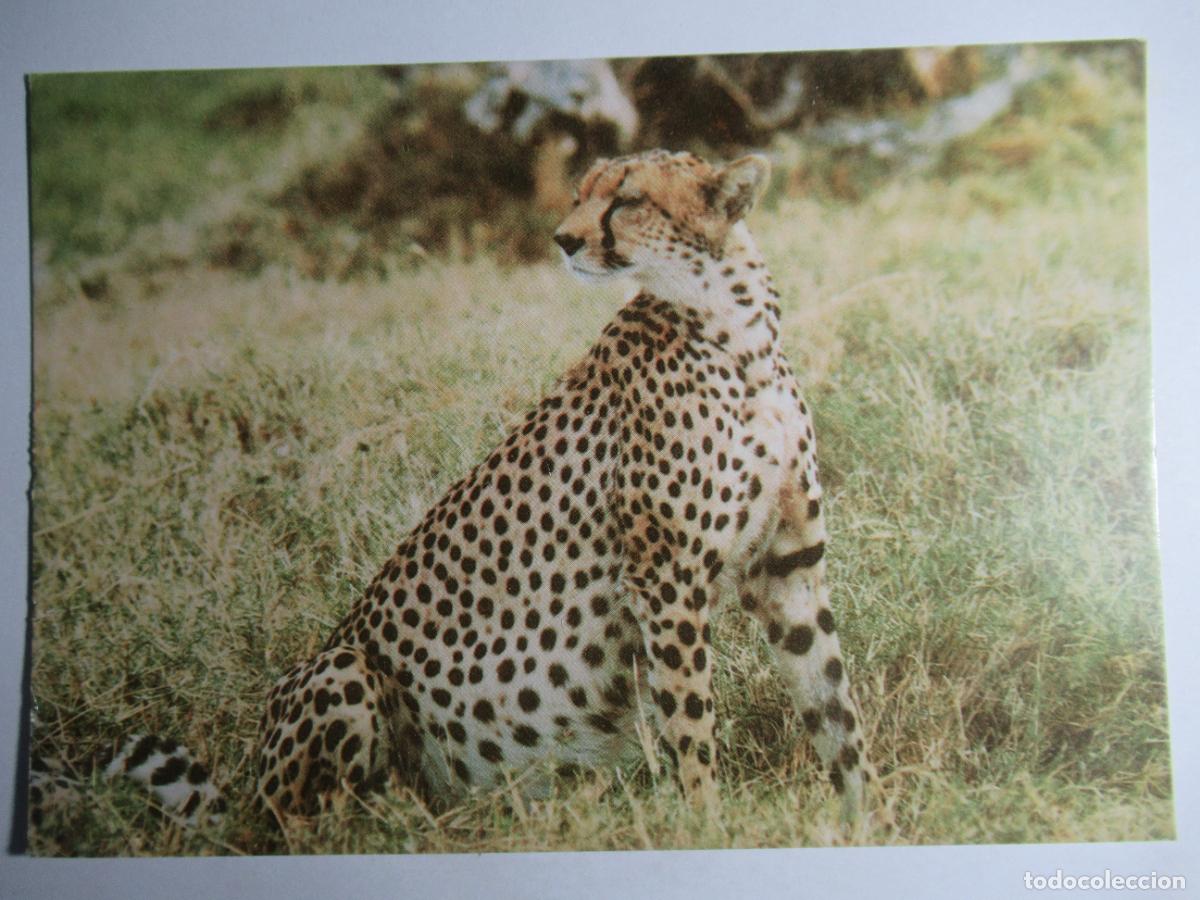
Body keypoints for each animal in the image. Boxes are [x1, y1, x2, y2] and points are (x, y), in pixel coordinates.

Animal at [254, 149, 872, 826]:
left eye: (627, 201)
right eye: (580, 196)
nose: (564, 240)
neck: (739, 333)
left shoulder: (788, 565)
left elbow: (833, 701)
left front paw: (871, 809)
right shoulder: (664, 577)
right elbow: (691, 720)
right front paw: (707, 822)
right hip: (340, 669)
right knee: (316, 823)